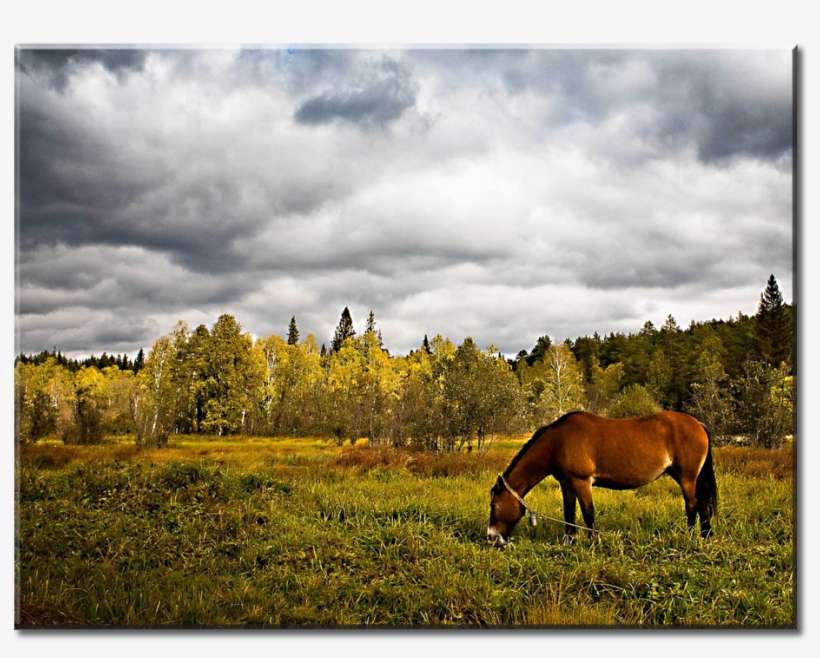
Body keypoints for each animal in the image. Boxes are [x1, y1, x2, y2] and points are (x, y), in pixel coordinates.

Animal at [487, 411, 717, 546]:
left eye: (494, 506)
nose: (491, 537)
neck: (557, 442)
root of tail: (698, 424)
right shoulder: (567, 484)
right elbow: (569, 513)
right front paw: (569, 541)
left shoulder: (582, 482)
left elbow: (588, 513)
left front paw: (592, 542)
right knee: (702, 505)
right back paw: (705, 535)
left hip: (687, 478)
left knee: (693, 505)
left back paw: (691, 535)